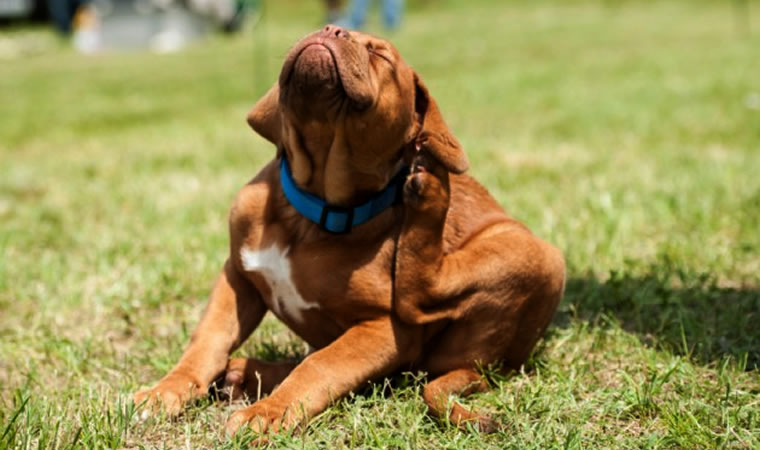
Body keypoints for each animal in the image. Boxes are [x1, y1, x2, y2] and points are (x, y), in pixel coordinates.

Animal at [135, 25, 564, 436]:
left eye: (380, 55)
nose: (331, 29)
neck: (310, 212)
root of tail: (488, 366)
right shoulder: (237, 276)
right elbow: (207, 340)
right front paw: (166, 390)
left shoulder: (384, 330)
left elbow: (322, 367)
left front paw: (268, 414)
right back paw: (246, 374)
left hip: (537, 254)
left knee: (419, 299)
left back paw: (431, 190)